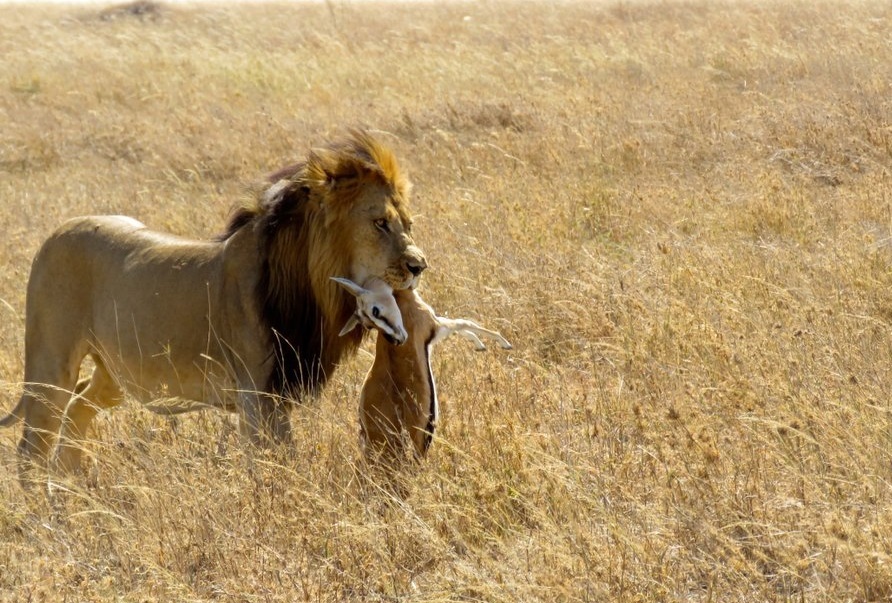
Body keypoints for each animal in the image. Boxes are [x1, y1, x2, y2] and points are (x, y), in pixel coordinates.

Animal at [0, 132, 428, 482]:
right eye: (380, 223)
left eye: (408, 224)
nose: (419, 266)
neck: (308, 289)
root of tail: (56, 232)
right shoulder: (257, 397)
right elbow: (277, 463)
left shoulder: (276, 395)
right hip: (50, 366)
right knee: (32, 447)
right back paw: (44, 513)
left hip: (113, 374)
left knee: (77, 410)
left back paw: (70, 490)